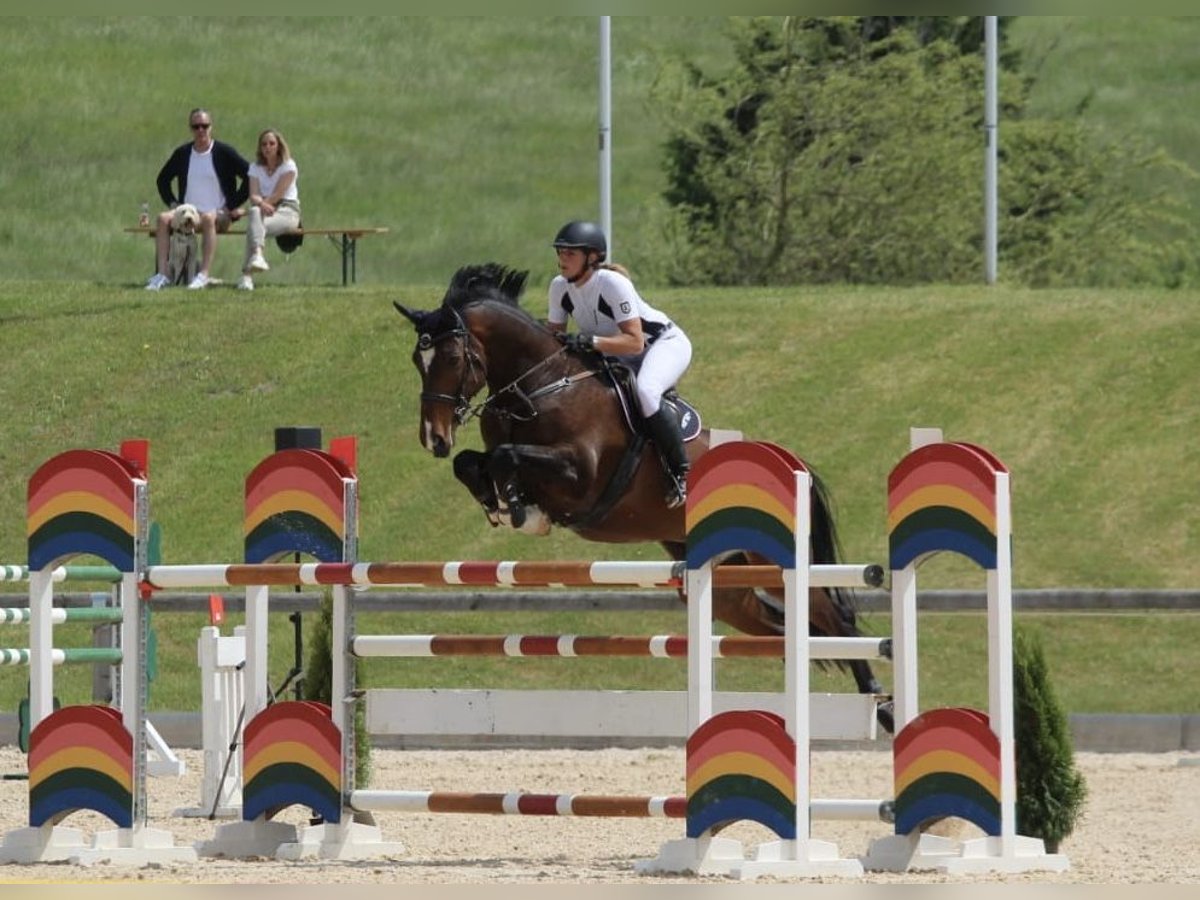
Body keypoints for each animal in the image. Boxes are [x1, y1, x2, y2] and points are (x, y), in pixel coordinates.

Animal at [393, 262, 892, 734]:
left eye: (452, 357)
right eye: (417, 359)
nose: (434, 438)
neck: (539, 387)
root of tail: (786, 459)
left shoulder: (580, 477)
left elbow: (505, 456)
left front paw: (518, 508)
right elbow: (473, 463)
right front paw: (500, 503)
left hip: (773, 561)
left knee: (837, 621)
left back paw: (883, 706)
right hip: (727, 582)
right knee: (782, 631)